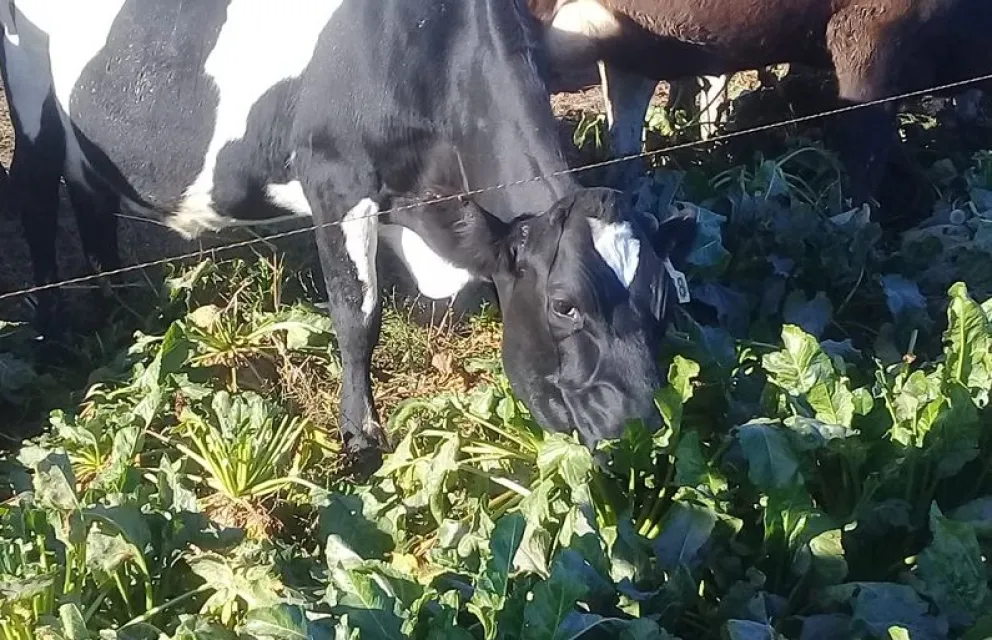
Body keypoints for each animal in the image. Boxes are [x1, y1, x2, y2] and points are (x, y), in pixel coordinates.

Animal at [0, 0, 697, 461]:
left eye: (664, 299)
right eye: (564, 305)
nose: (643, 426)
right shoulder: (336, 180)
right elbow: (357, 316)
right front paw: (361, 438)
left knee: (90, 197)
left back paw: (116, 312)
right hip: (34, 107)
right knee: (34, 199)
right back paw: (53, 331)